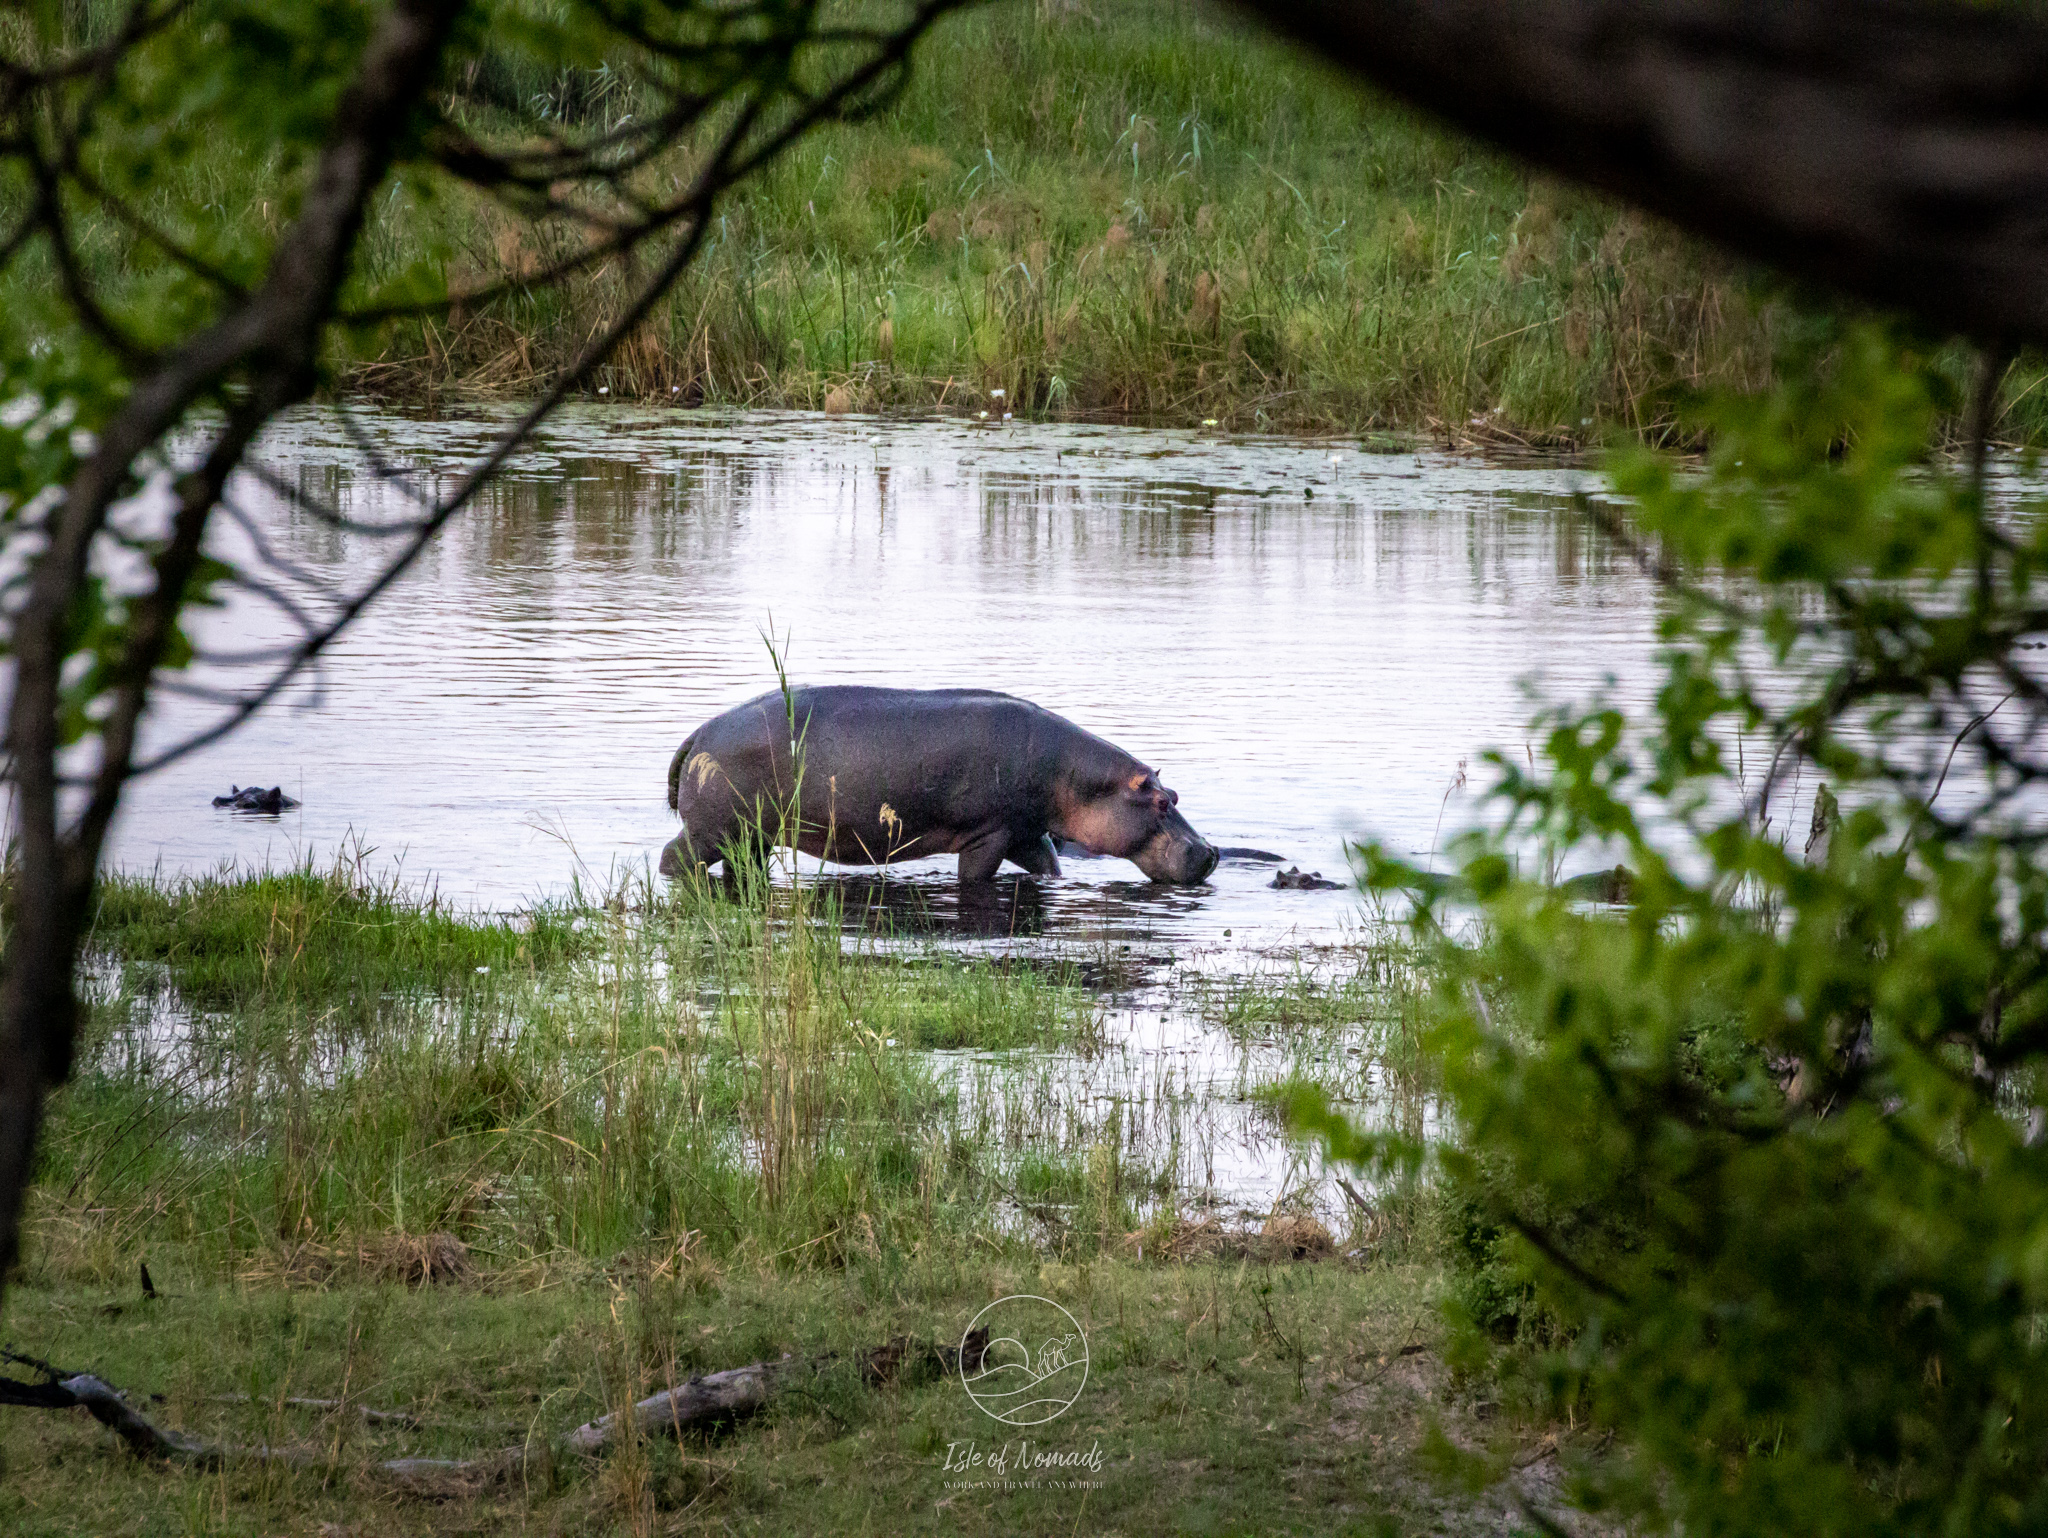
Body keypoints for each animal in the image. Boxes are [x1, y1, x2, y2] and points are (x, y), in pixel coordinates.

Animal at [663, 679, 1220, 884]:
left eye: (1174, 794)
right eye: (1161, 803)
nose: (1212, 852)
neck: (1076, 778)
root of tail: (698, 732)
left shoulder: (1025, 831)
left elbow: (1049, 866)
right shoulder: (989, 833)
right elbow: (975, 877)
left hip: (752, 834)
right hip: (713, 831)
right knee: (674, 859)